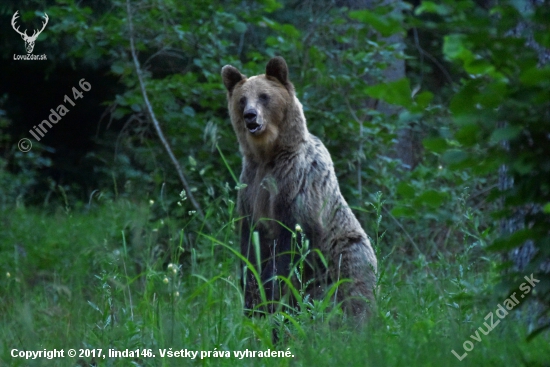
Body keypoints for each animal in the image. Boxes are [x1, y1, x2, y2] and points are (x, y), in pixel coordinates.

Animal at [222, 55, 378, 320]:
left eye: (264, 96)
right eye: (242, 99)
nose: (250, 116)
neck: (270, 155)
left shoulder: (297, 183)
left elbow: (291, 242)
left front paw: (271, 290)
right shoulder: (251, 187)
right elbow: (250, 246)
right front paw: (253, 298)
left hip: (344, 254)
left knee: (353, 293)